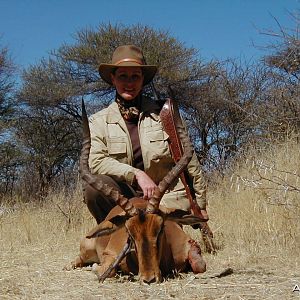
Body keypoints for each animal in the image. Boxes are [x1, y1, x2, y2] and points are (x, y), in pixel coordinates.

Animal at [65, 101, 206, 284]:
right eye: (129, 234)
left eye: (161, 229)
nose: (149, 278)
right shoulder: (109, 255)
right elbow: (108, 270)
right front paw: (97, 269)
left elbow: (199, 265)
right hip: (86, 251)